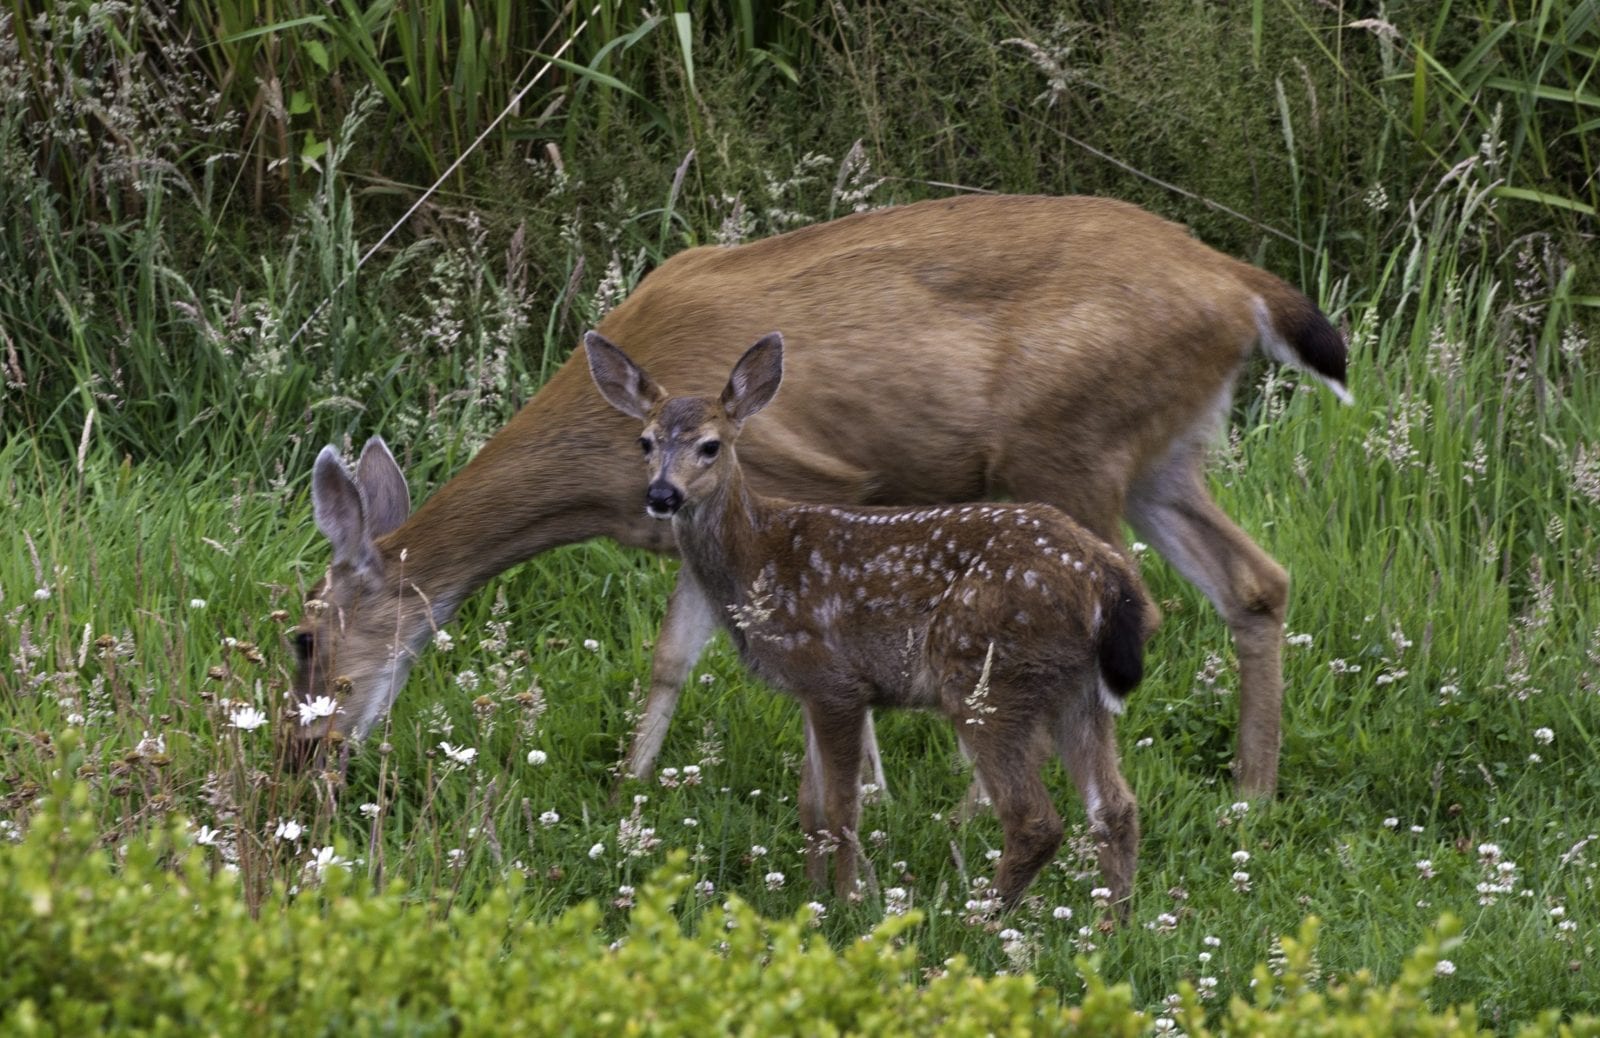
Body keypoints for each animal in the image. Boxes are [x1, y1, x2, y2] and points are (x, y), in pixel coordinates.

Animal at [291, 194, 1350, 793]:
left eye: (301, 636)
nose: (304, 762)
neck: (603, 466)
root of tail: (1239, 285)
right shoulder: (690, 530)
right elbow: (669, 659)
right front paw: (628, 789)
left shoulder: (798, 489)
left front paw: (864, 791)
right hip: (1160, 456)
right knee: (1257, 581)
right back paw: (1251, 792)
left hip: (1067, 452)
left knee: (1129, 614)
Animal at [582, 334, 1158, 908]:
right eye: (645, 442)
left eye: (710, 446)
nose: (662, 495)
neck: (756, 560)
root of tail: (1109, 577)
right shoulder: (809, 688)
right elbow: (810, 805)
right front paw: (814, 899)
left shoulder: (835, 679)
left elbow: (842, 807)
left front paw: (847, 899)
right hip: (1075, 688)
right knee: (1114, 807)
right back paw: (1116, 920)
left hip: (984, 676)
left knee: (1034, 820)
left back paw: (981, 916)